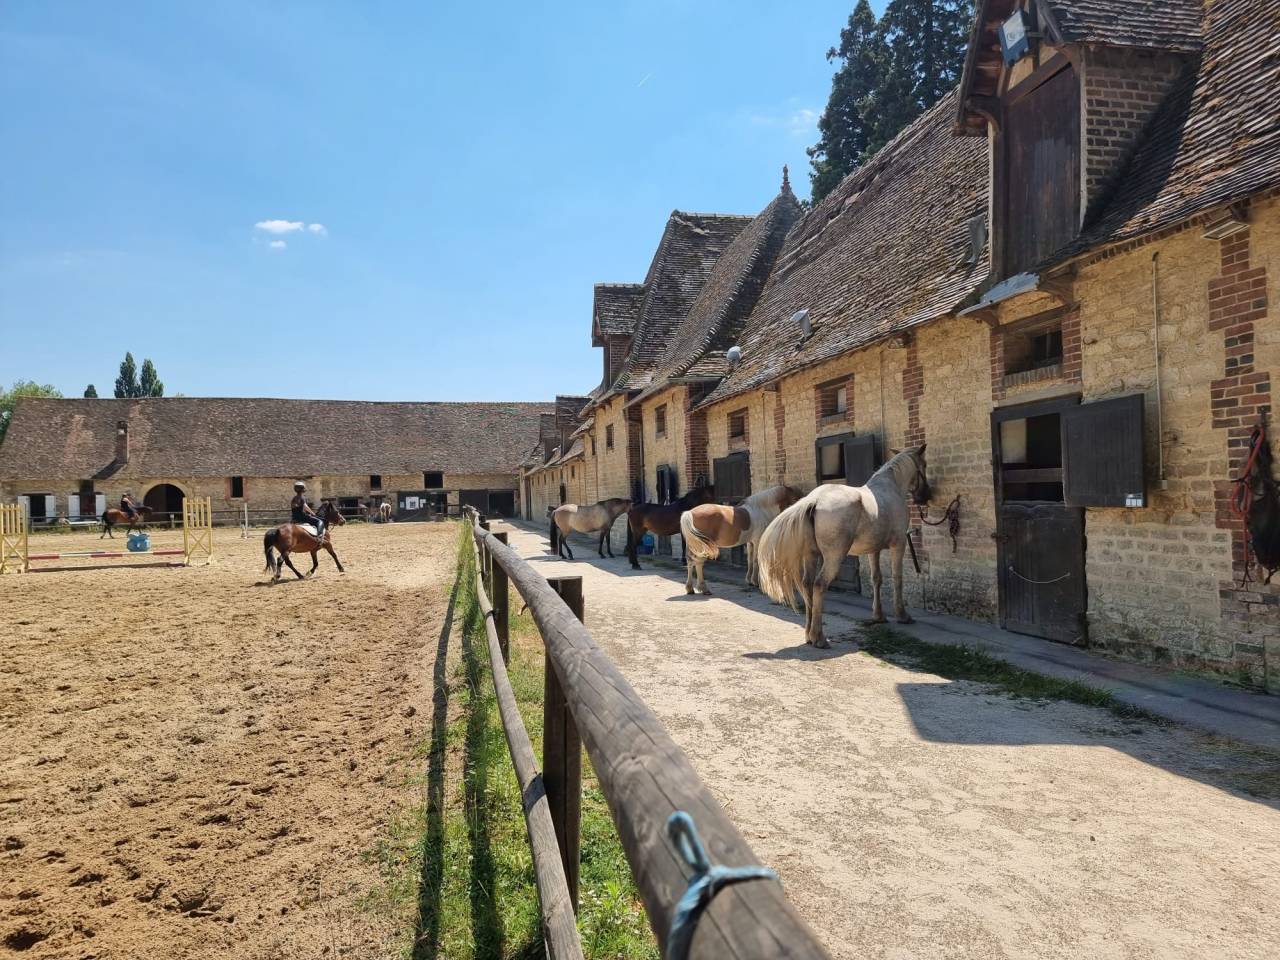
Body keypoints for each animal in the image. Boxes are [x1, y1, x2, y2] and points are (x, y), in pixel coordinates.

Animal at [758, 445, 931, 648]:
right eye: (924, 465)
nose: (925, 496)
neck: (891, 487)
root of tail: (814, 500)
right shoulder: (899, 544)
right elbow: (897, 578)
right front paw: (902, 615)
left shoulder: (873, 550)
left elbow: (876, 579)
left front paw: (878, 615)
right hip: (834, 557)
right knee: (819, 585)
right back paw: (819, 638)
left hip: (811, 555)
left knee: (808, 585)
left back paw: (809, 635)